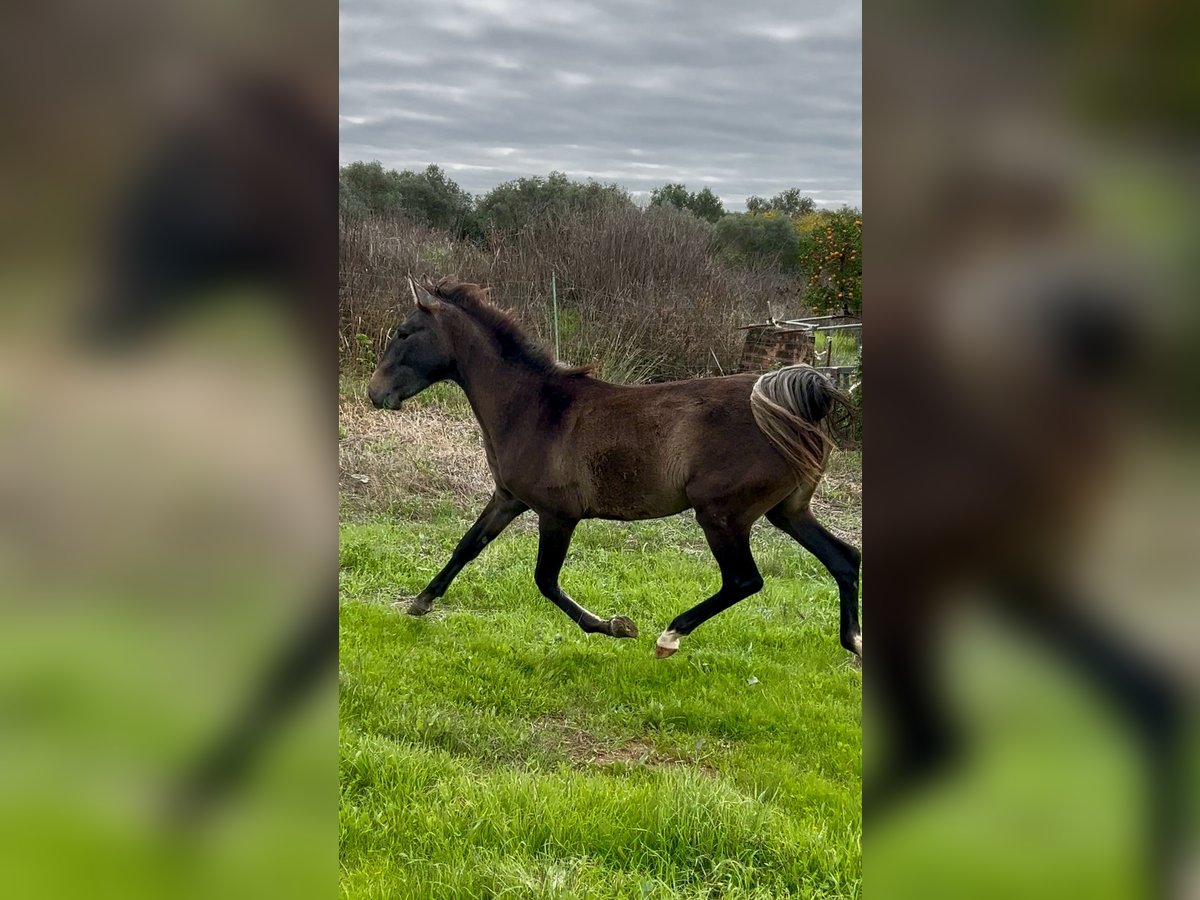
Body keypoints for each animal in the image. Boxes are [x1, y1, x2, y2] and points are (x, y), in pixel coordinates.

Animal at [367, 278, 864, 657]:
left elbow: (546, 581)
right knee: (844, 558)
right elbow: (467, 546)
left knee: (744, 580)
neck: (533, 407)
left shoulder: (557, 514)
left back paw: (670, 636)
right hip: (788, 511)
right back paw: (853, 643)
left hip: (722, 515)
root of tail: (803, 408)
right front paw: (420, 602)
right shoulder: (508, 499)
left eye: (405, 332)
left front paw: (613, 625)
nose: (375, 393)